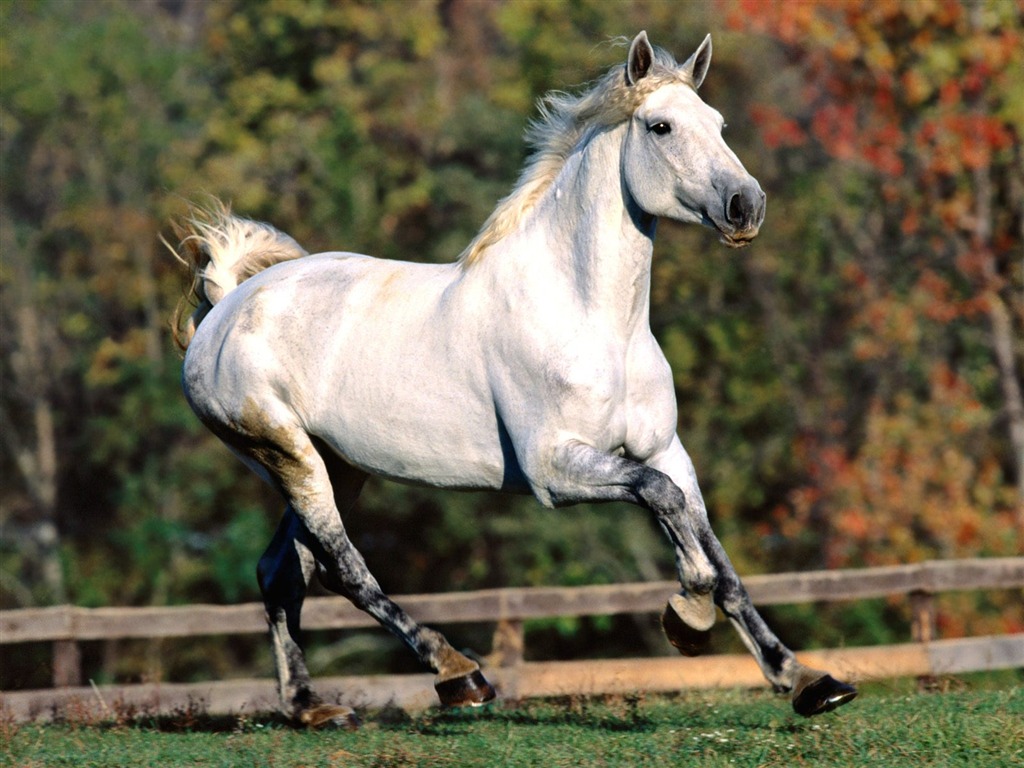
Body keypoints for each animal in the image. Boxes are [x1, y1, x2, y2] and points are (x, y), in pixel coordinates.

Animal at [174, 30, 856, 729]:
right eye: (660, 126)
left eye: (719, 124)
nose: (746, 206)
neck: (594, 321)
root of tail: (226, 307)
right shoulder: (554, 470)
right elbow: (665, 506)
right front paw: (687, 616)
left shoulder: (666, 449)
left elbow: (718, 555)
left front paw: (806, 680)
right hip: (287, 454)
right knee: (343, 568)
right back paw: (458, 673)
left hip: (338, 466)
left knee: (282, 571)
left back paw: (312, 708)